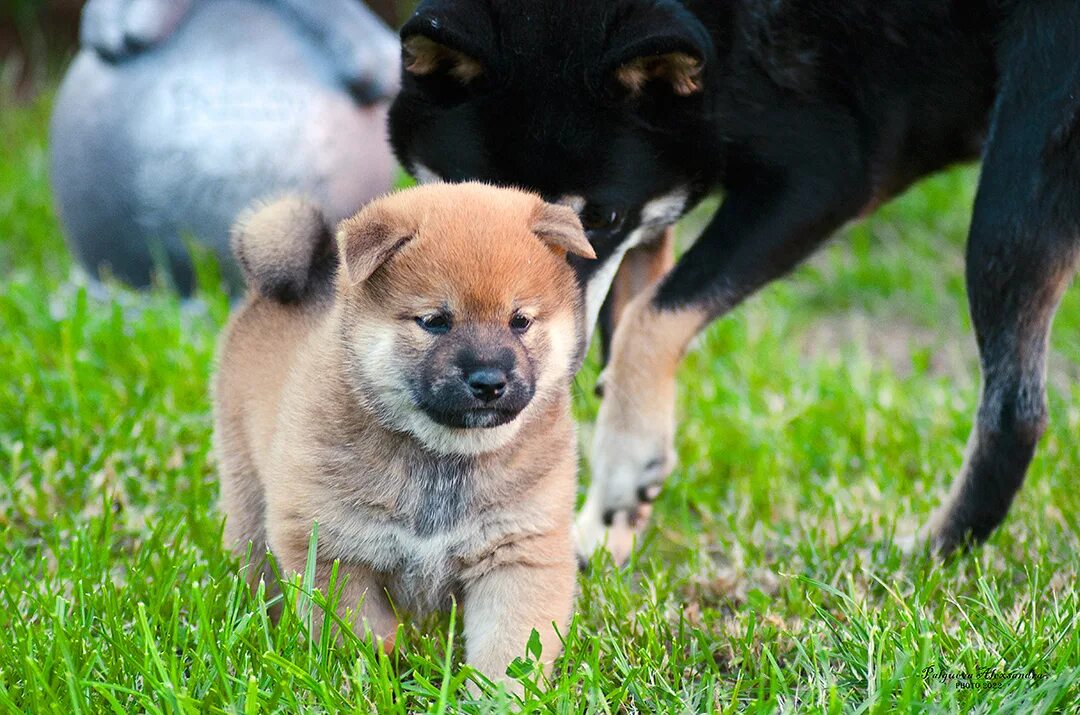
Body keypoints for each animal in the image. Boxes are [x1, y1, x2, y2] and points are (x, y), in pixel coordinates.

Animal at [213, 183, 596, 691]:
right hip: (247, 493)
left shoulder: (518, 552)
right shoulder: (332, 548)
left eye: (520, 321)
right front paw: (371, 682)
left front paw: (497, 697)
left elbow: (509, 649)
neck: (441, 455)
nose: (489, 381)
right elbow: (359, 634)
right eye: (435, 321)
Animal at [388, 1, 1080, 565]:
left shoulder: (824, 175)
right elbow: (625, 329)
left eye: (600, 217)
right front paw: (609, 523)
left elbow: (647, 321)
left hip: (1012, 185)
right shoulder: (656, 203)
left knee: (1017, 411)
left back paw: (927, 555)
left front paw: (623, 469)